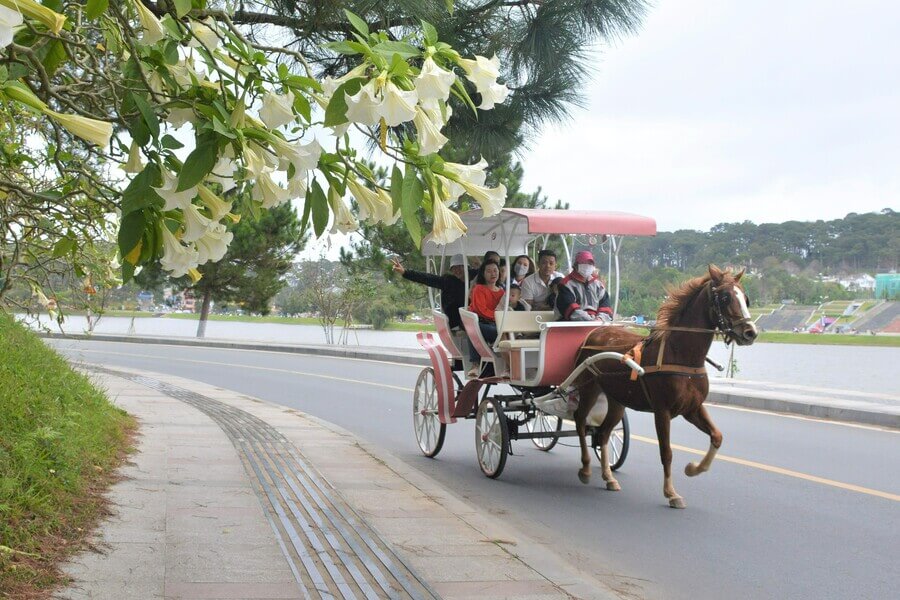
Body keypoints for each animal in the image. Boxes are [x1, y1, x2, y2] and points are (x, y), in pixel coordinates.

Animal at [572, 264, 756, 508]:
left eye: (746, 298)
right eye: (725, 298)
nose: (750, 332)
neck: (680, 354)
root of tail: (594, 332)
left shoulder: (692, 408)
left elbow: (717, 436)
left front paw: (693, 468)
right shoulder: (662, 411)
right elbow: (666, 452)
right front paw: (671, 492)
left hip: (617, 400)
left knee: (602, 433)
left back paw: (608, 477)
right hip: (589, 388)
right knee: (580, 420)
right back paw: (584, 468)